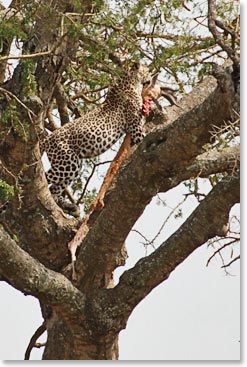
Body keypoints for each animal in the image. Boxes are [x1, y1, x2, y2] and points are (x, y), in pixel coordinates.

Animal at [41, 61, 151, 214]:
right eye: (147, 71)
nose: (151, 77)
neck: (129, 81)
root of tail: (47, 138)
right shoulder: (136, 129)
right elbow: (145, 135)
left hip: (71, 165)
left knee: (54, 189)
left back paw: (69, 206)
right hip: (67, 162)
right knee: (46, 178)